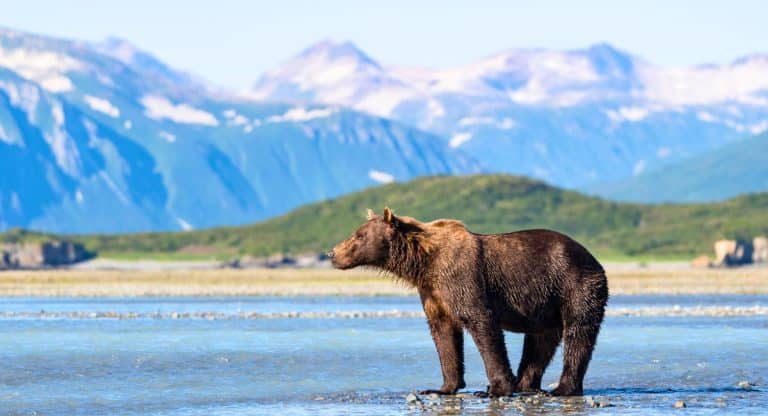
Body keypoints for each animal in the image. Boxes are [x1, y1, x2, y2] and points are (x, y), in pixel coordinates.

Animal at [328, 208, 608, 396]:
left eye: (359, 235)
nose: (332, 253)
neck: (424, 263)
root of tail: (593, 258)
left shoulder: (461, 278)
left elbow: (481, 323)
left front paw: (495, 388)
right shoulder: (434, 293)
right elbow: (444, 334)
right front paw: (442, 387)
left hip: (574, 284)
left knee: (578, 334)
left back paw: (562, 388)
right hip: (546, 305)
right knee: (540, 342)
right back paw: (526, 385)